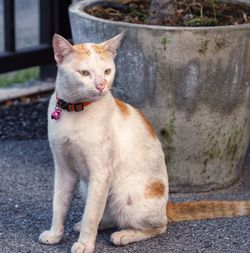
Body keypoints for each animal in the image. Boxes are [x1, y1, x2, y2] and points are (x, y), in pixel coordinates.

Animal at [38, 32, 250, 253]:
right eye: (84, 73)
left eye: (107, 71)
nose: (101, 85)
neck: (74, 110)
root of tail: (167, 205)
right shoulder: (64, 169)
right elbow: (59, 205)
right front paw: (55, 234)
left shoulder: (101, 173)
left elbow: (91, 215)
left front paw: (85, 244)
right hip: (87, 185)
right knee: (107, 212)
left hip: (122, 194)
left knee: (158, 225)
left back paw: (124, 235)